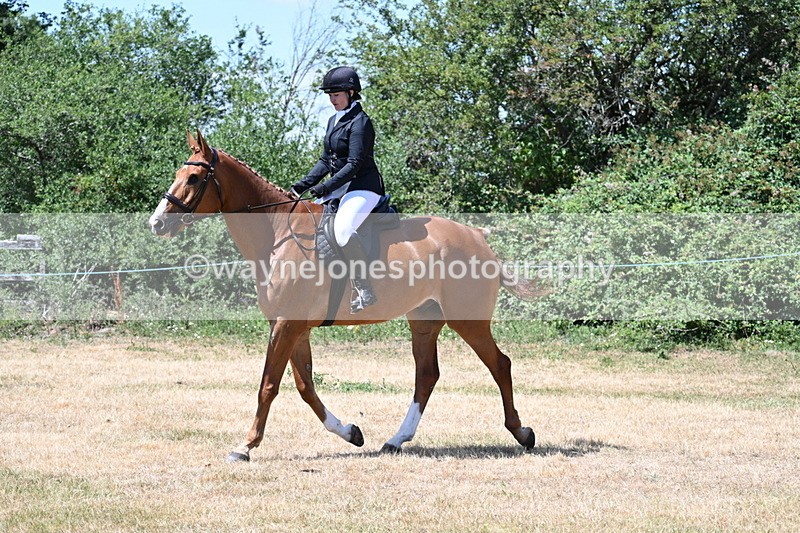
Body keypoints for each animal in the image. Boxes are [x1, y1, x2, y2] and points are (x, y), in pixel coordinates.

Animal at [149, 130, 542, 462]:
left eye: (194, 179)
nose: (156, 223)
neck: (278, 236)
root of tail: (477, 236)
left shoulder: (287, 324)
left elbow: (268, 385)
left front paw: (245, 446)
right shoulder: (292, 327)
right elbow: (305, 386)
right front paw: (351, 432)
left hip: (468, 320)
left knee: (499, 364)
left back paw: (522, 433)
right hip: (424, 320)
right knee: (427, 376)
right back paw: (395, 440)